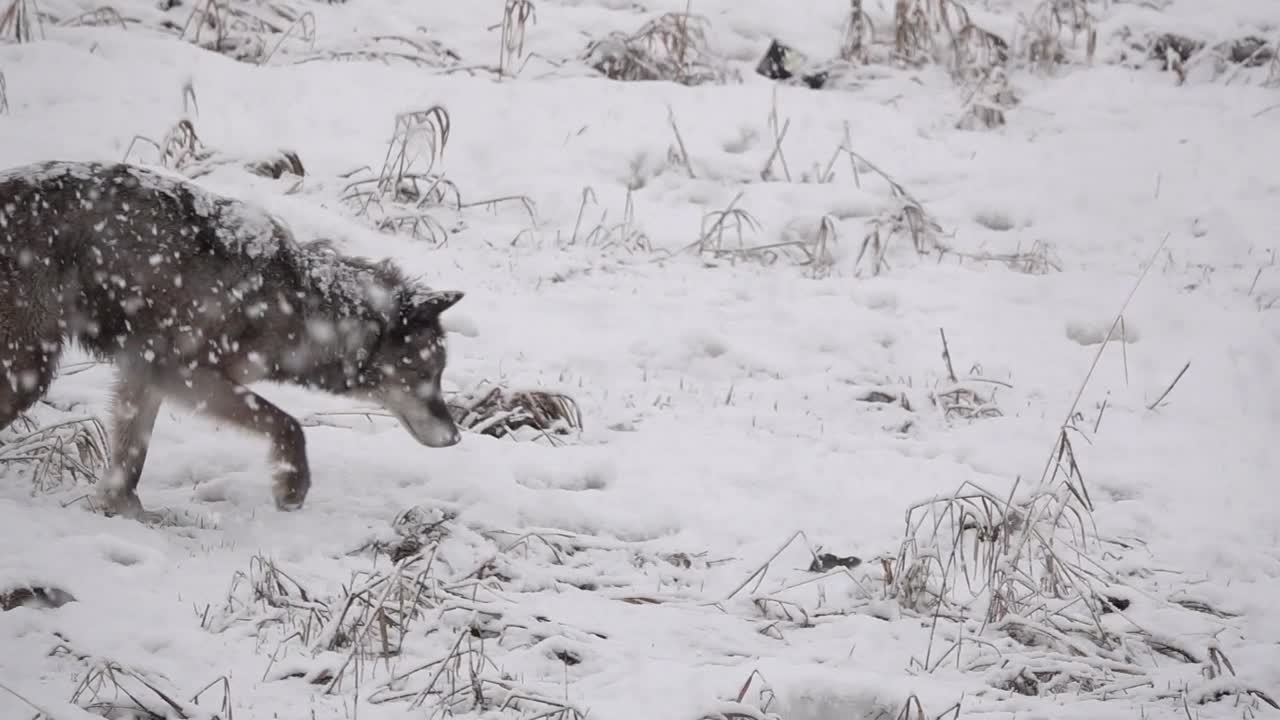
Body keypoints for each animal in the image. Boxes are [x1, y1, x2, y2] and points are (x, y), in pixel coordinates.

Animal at [0, 160, 465, 520]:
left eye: (439, 375)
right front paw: (292, 489)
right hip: (28, 372)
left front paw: (128, 512)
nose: (456, 437)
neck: (295, 306)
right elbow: (288, 423)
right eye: (425, 374)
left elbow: (129, 462)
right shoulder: (185, 375)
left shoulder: (144, 375)